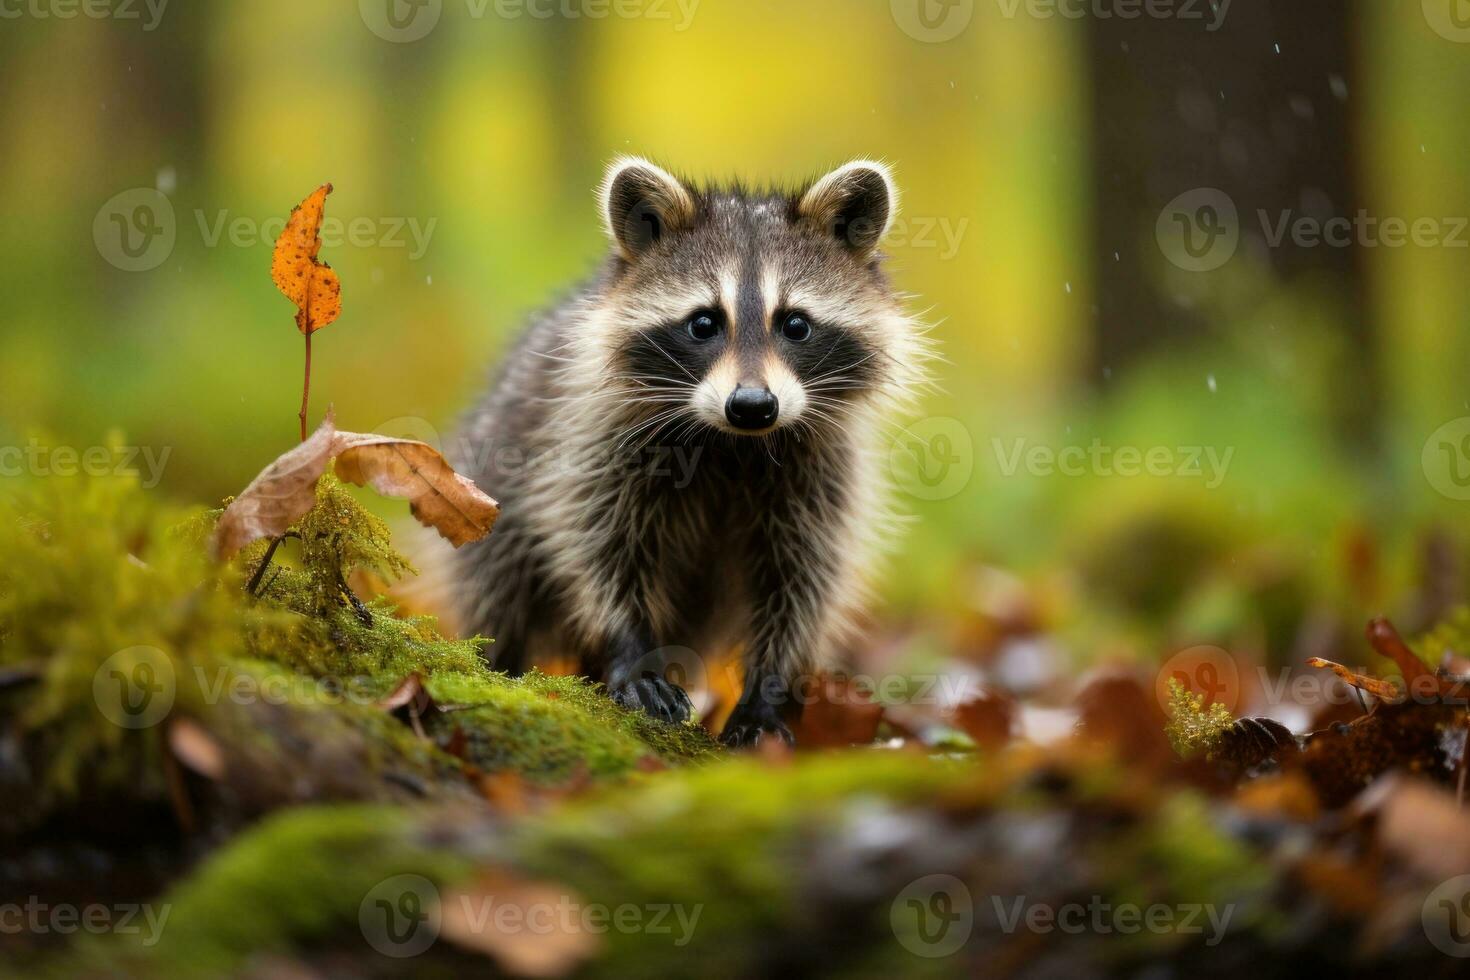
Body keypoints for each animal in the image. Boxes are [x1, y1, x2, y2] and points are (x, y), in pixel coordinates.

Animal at [449, 157, 929, 746]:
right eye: (703, 322)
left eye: (795, 324)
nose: (752, 405)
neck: (734, 444)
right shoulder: (592, 437)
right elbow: (600, 547)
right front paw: (631, 652)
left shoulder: (824, 469)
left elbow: (804, 578)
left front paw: (768, 688)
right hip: (493, 480)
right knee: (499, 587)